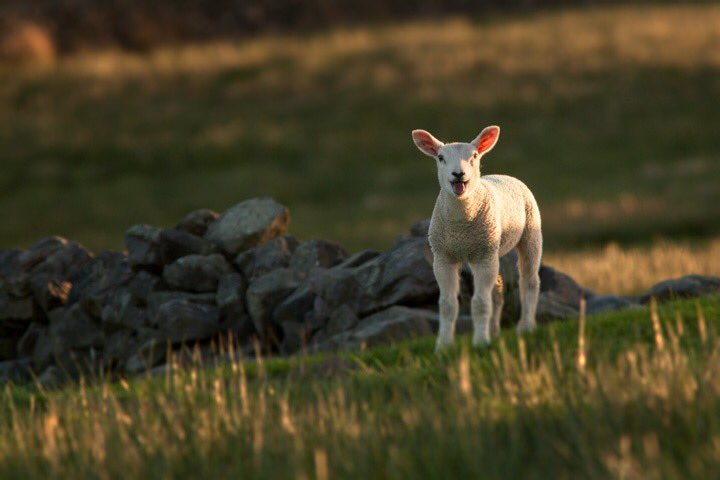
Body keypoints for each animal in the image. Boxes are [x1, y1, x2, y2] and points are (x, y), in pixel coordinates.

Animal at [411, 126, 542, 351]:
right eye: (440, 157)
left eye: (474, 156)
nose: (458, 174)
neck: (461, 227)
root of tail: (504, 175)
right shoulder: (443, 258)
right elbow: (447, 305)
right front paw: (443, 346)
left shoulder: (482, 256)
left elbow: (480, 303)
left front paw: (480, 343)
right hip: (494, 249)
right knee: (497, 290)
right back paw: (495, 332)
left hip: (529, 232)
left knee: (529, 281)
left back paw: (526, 327)